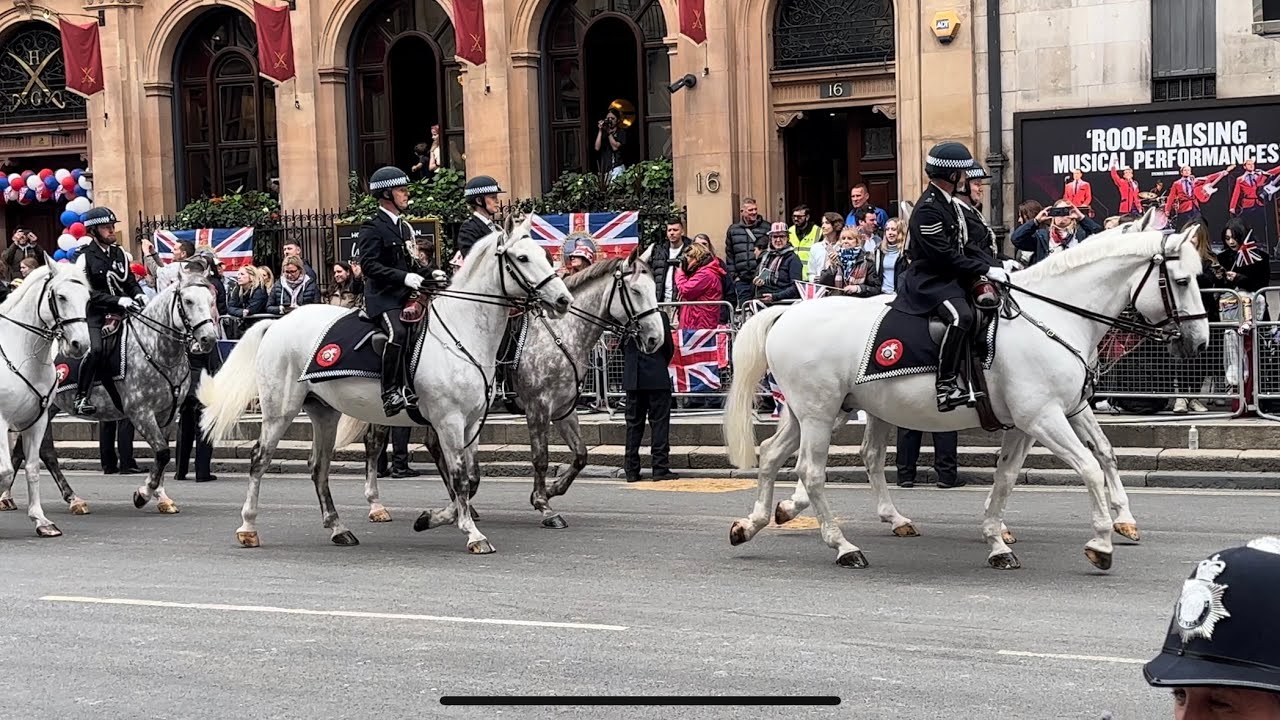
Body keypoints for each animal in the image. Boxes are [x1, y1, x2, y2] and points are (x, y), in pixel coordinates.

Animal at [0, 260, 92, 535]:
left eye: (87, 298)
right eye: (60, 296)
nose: (80, 344)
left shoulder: (37, 420)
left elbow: (31, 468)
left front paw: (41, 521)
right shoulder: (1, 421)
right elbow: (5, 471)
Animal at [197, 217, 573, 548]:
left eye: (546, 255)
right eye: (522, 258)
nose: (563, 300)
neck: (461, 332)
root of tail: (276, 323)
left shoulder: (470, 423)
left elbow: (469, 478)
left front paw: (434, 518)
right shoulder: (448, 420)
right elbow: (460, 477)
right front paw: (472, 534)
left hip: (324, 411)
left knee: (319, 466)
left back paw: (338, 528)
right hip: (280, 410)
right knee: (259, 459)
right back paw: (248, 527)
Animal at [727, 210, 1203, 568]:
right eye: (1181, 281)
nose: (1199, 343)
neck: (1055, 317)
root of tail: (789, 312)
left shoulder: (1042, 418)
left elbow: (1024, 473)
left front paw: (998, 539)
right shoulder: (1043, 416)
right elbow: (1088, 466)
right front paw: (1101, 542)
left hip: (820, 410)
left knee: (778, 454)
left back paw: (755, 522)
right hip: (820, 412)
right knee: (812, 471)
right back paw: (842, 545)